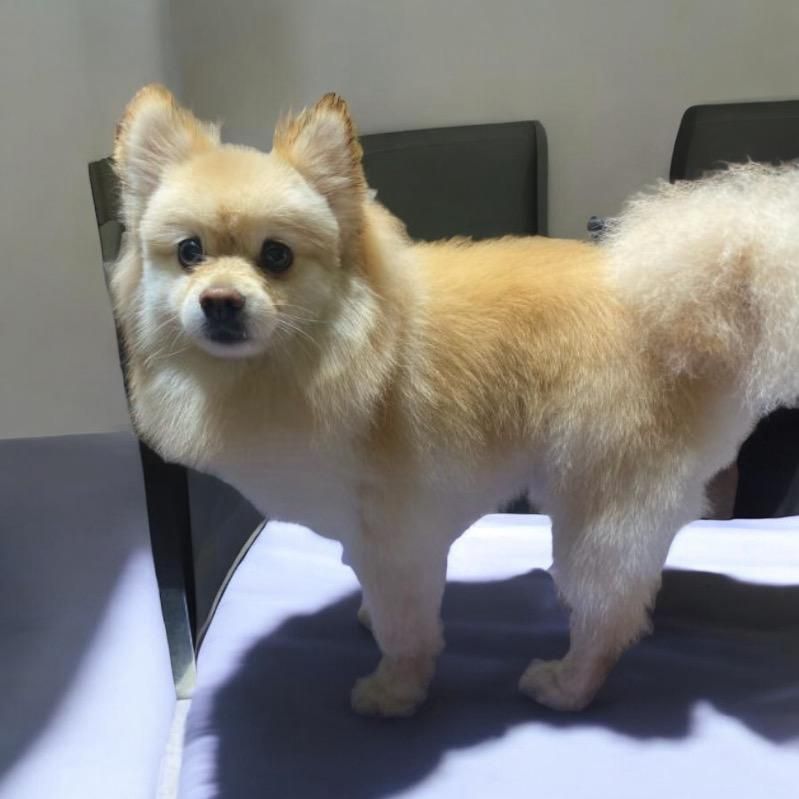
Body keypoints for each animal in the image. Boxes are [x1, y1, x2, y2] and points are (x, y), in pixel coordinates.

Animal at [112, 87, 799, 720]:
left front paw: (395, 692)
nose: (220, 301)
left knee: (607, 615)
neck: (326, 352)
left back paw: (567, 684)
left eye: (275, 256)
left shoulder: (396, 532)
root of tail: (699, 307)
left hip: (599, 498)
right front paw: (368, 621)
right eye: (190, 253)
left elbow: (406, 630)